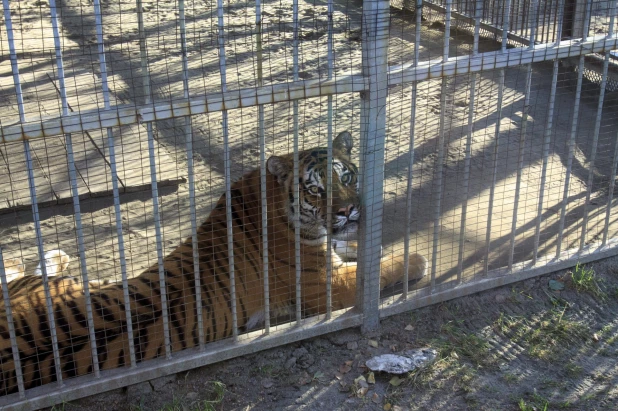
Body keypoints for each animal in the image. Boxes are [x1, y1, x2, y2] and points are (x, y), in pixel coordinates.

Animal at [0, 132, 424, 396]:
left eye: (347, 177)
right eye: (315, 190)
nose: (348, 211)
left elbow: (353, 247)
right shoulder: (328, 285)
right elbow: (376, 268)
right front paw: (416, 259)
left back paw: (55, 255)